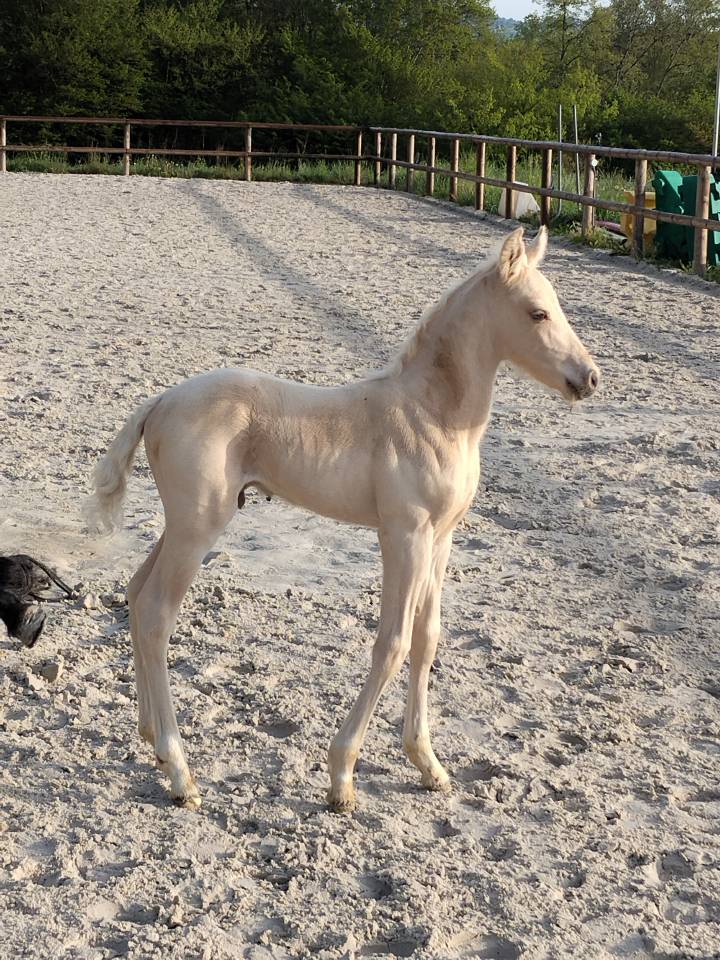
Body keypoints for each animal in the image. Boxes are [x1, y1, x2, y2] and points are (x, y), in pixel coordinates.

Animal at [86, 226, 600, 811]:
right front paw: (342, 776)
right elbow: (392, 642)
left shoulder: (441, 539)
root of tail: (161, 402)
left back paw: (150, 738)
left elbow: (427, 639)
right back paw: (179, 772)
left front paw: (429, 765)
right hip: (198, 529)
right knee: (156, 615)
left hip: (181, 526)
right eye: (537, 313)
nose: (589, 378)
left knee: (134, 592)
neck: (431, 415)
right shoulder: (403, 534)